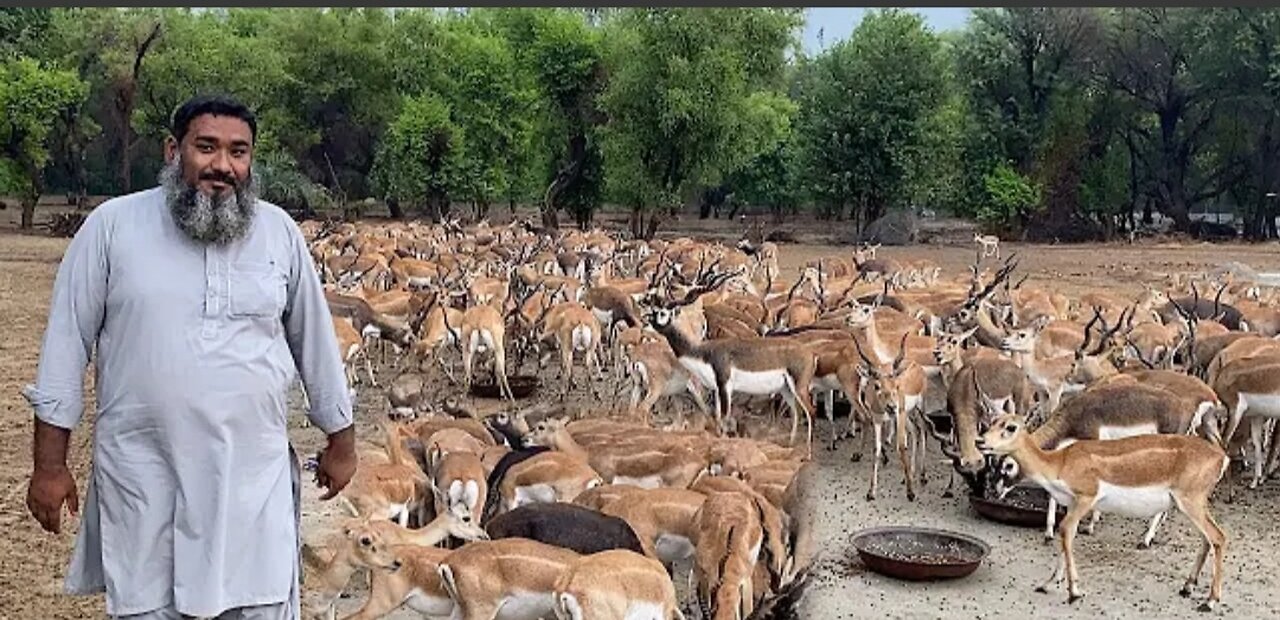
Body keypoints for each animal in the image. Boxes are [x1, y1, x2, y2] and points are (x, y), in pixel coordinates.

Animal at [977, 415, 1228, 612]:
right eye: (992, 421)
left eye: (1010, 426)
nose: (980, 441)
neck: (1060, 463)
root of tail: (1221, 457)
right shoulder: (1072, 504)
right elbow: (1065, 535)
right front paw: (1047, 584)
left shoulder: (1085, 499)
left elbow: (1065, 531)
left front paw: (1074, 592)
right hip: (1190, 505)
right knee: (1206, 540)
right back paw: (1187, 587)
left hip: (1191, 502)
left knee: (1218, 537)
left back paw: (1209, 601)